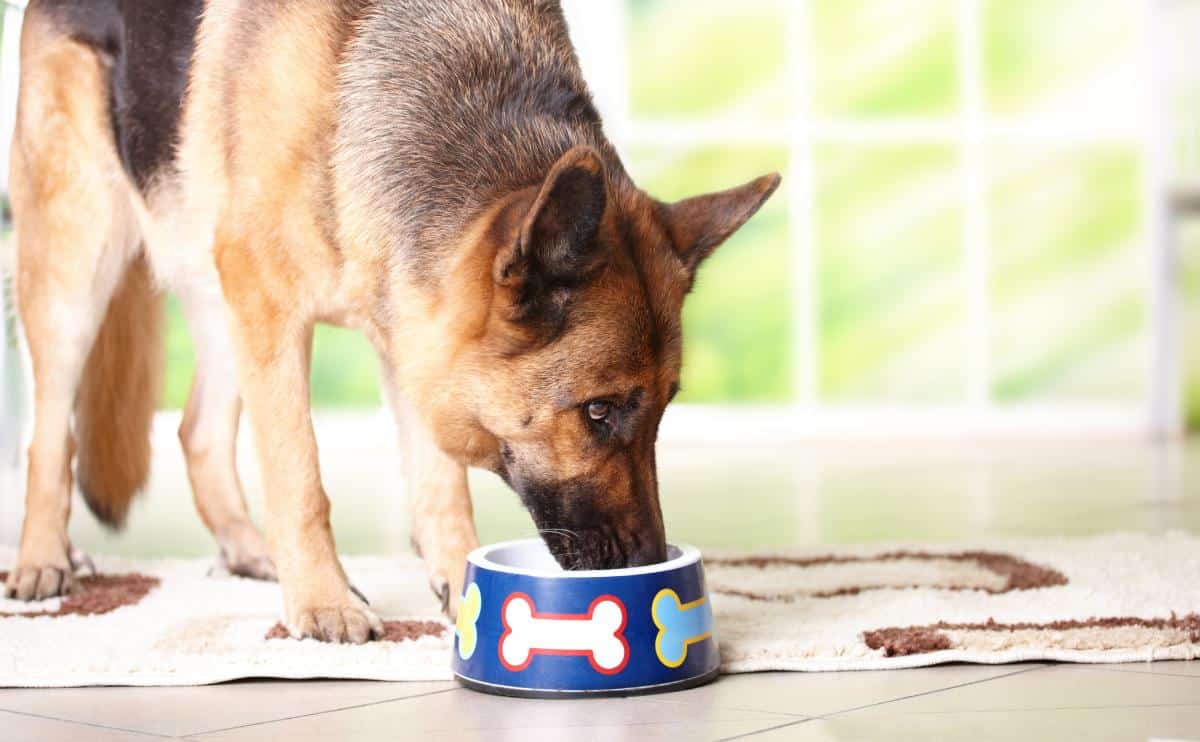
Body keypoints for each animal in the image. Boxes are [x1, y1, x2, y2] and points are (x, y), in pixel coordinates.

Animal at [7, 0, 777, 643]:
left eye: (663, 410)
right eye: (598, 411)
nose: (649, 560)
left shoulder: (413, 330)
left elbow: (440, 486)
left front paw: (460, 586)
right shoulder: (276, 311)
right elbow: (298, 474)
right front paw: (322, 601)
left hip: (217, 299)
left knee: (196, 431)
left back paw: (250, 549)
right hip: (79, 268)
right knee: (49, 434)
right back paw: (43, 559)